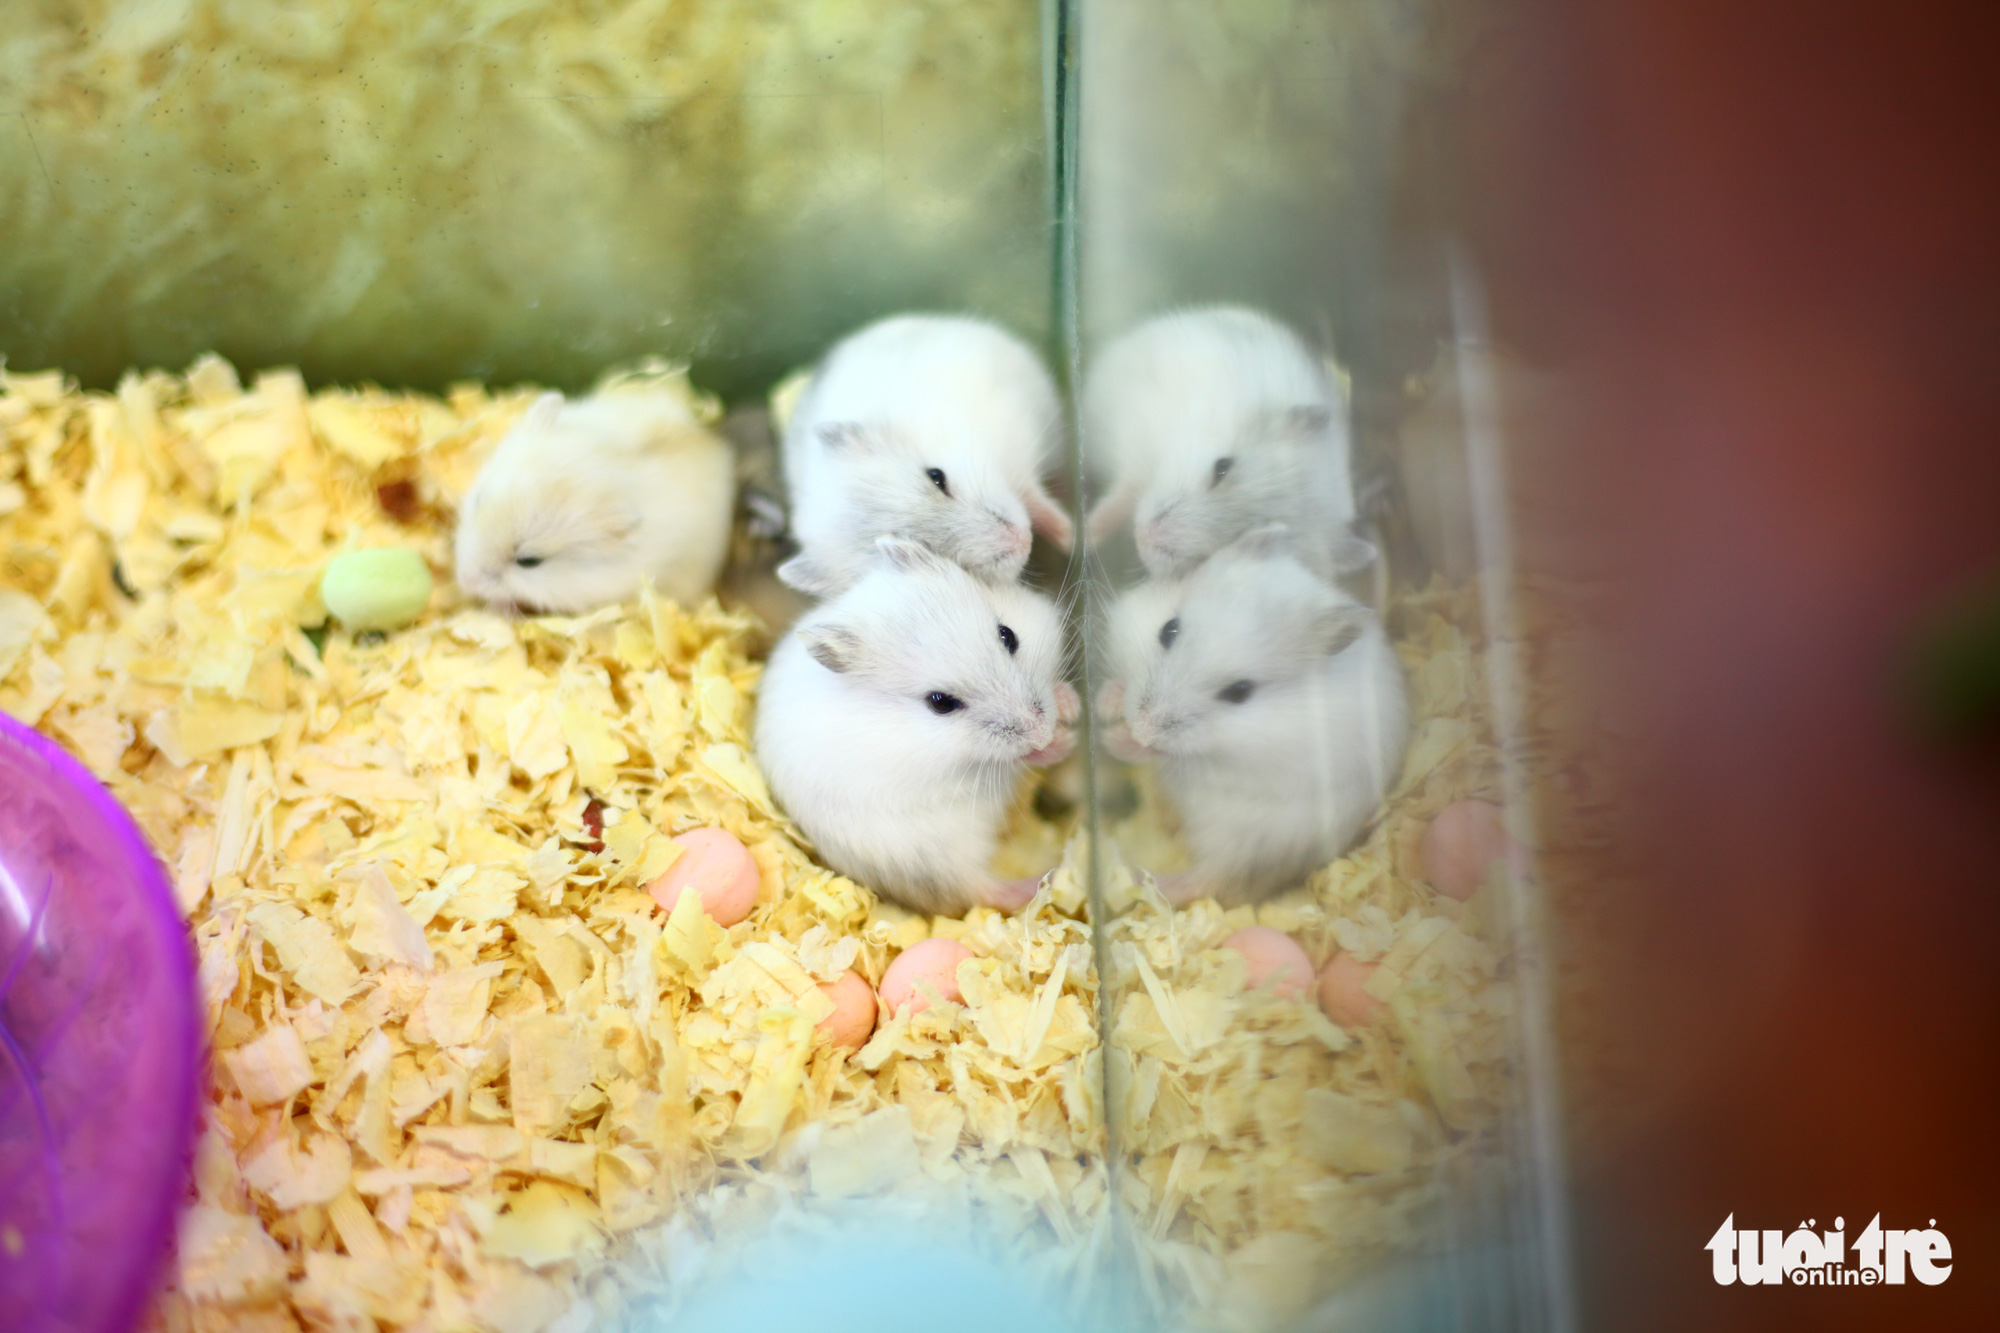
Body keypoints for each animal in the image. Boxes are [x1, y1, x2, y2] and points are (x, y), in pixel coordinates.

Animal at [755, 536, 1074, 917]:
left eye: (1008, 635)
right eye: (940, 702)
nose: (1044, 732)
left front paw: (1071, 707)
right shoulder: (950, 774)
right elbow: (1011, 759)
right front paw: (1059, 743)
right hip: (931, 852)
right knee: (976, 890)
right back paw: (1045, 880)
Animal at [777, 314, 1073, 597]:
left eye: (936, 477)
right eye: (925, 550)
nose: (1024, 541)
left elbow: (1031, 492)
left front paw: (1070, 536)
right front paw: (1070, 537)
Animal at [1082, 306, 1373, 580]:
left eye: (1235, 544)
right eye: (1222, 467)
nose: (1142, 536)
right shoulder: (1137, 438)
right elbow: (1122, 495)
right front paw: (1082, 535)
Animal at [1100, 525, 1409, 905]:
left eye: (1240, 691)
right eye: (1168, 630)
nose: (1140, 728)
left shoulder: (1241, 765)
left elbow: (1170, 753)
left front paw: (1115, 740)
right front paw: (1107, 704)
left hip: (1251, 839)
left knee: (1211, 880)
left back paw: (1145, 880)